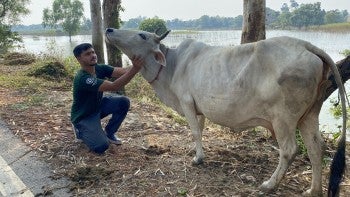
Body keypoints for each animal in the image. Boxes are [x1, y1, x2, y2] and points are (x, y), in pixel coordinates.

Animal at [104, 28, 348, 196]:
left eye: (142, 35)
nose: (110, 30)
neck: (170, 66)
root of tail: (306, 45)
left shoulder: (186, 102)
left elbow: (195, 132)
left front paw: (198, 158)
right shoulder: (198, 108)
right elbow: (200, 130)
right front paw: (196, 152)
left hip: (283, 118)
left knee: (289, 150)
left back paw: (269, 184)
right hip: (310, 114)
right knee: (316, 148)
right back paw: (313, 190)